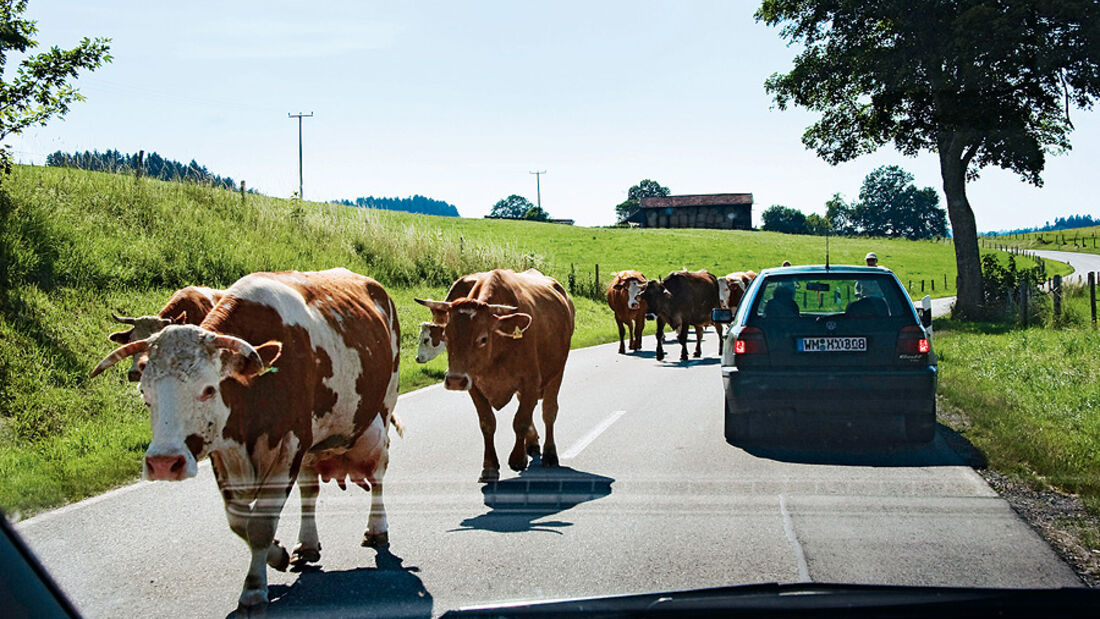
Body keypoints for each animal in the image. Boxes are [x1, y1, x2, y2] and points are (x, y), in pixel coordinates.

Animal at [90, 269, 400, 606]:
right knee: (310, 489)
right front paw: (276, 555)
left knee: (378, 475)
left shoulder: (289, 445)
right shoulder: (223, 451)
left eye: (209, 389)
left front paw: (253, 588)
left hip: (383, 408)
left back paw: (377, 528)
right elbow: (239, 522)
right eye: (146, 394)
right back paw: (307, 544)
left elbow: (261, 524)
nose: (162, 463)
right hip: (313, 445)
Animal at [413, 269, 576, 481]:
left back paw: (549, 454)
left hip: (557, 372)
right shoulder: (474, 385)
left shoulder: (531, 382)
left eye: (483, 338)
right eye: (446, 337)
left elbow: (521, 420)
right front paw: (489, 466)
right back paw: (531, 443)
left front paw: (517, 459)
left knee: (549, 411)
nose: (455, 381)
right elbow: (487, 423)